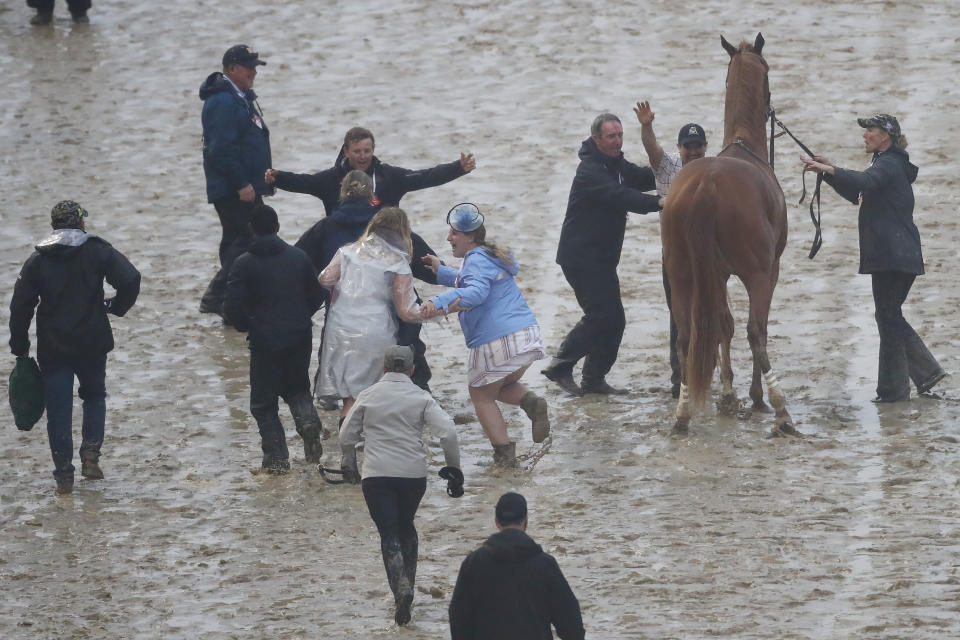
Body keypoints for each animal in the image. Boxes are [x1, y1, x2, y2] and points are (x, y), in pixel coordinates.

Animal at [660, 33, 796, 436]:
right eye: (767, 72)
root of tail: (707, 185)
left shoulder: (716, 274)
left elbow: (722, 326)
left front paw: (728, 393)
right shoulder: (770, 269)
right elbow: (751, 329)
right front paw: (752, 395)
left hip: (682, 275)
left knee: (688, 335)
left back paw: (683, 414)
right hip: (757, 273)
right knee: (756, 330)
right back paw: (780, 409)